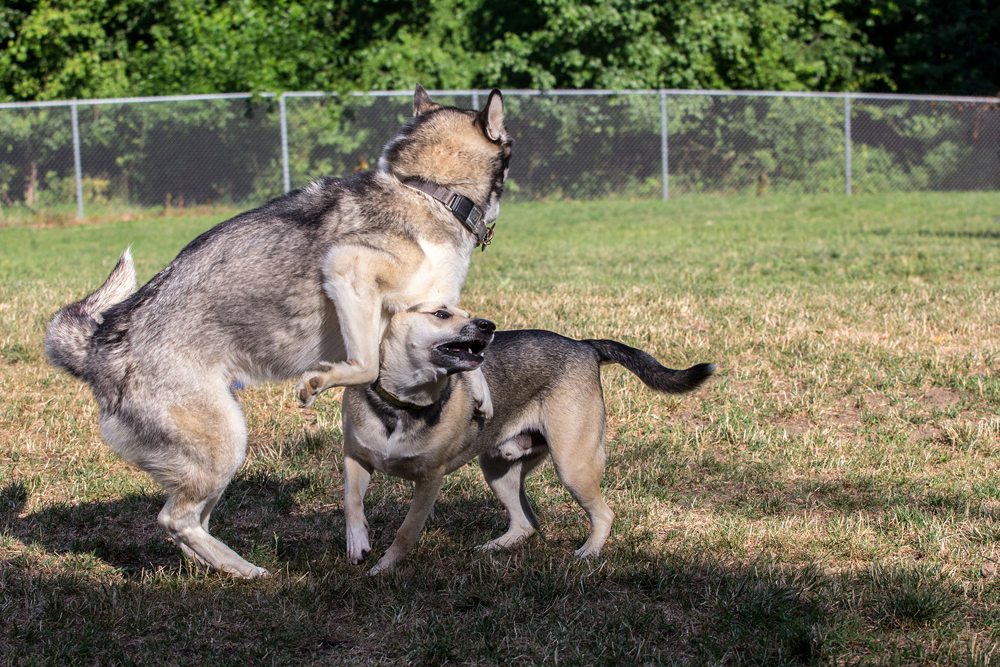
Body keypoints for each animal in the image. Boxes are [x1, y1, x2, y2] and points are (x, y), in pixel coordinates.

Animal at [45, 85, 516, 580]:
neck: (428, 190)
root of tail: (99, 343)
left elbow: (469, 353)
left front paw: (481, 392)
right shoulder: (349, 270)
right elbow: (365, 366)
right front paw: (320, 381)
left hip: (217, 455)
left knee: (189, 523)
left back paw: (222, 569)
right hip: (224, 443)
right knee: (174, 519)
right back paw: (249, 571)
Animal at [340, 302, 716, 576]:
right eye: (441, 314)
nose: (488, 326)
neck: (401, 404)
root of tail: (584, 346)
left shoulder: (429, 480)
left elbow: (406, 532)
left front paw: (383, 569)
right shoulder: (356, 459)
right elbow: (352, 502)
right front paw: (357, 543)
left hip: (572, 466)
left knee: (604, 515)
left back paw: (590, 551)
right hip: (496, 468)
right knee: (527, 524)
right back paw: (494, 548)